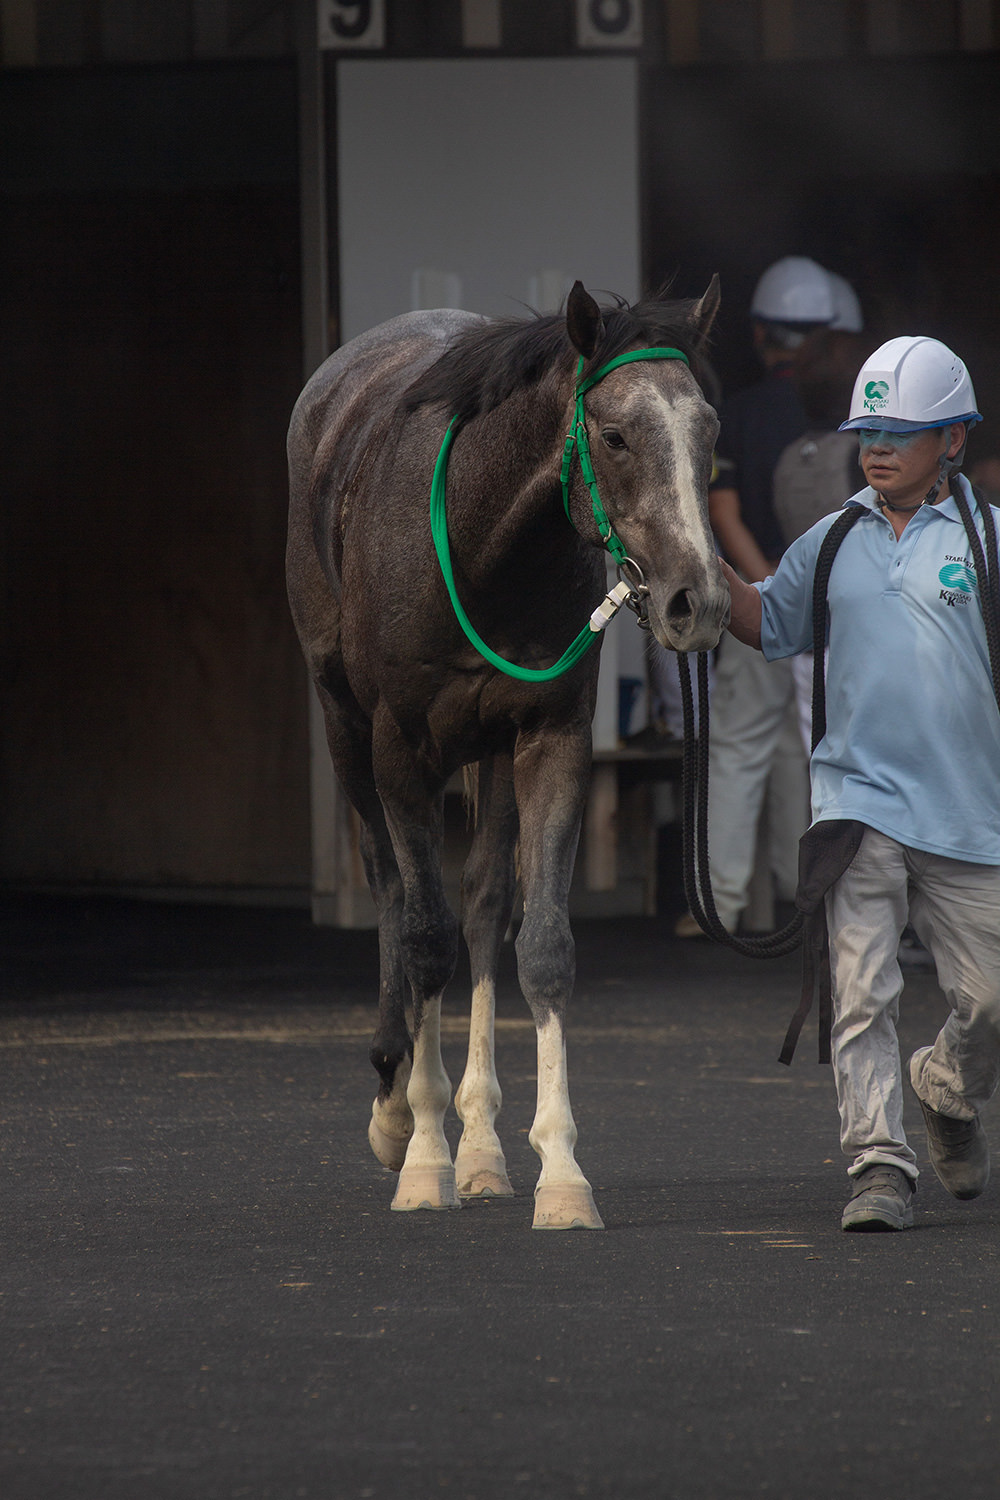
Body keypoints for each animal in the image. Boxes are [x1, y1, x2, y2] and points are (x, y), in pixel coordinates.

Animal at [284, 276, 731, 1224]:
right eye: (615, 434)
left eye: (707, 430)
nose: (697, 601)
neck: (483, 539)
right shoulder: (399, 747)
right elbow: (423, 937)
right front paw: (422, 1154)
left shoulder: (549, 734)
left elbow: (541, 942)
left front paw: (557, 1170)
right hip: (344, 725)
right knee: (392, 890)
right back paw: (396, 1104)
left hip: (486, 745)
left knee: (485, 902)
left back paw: (483, 1144)